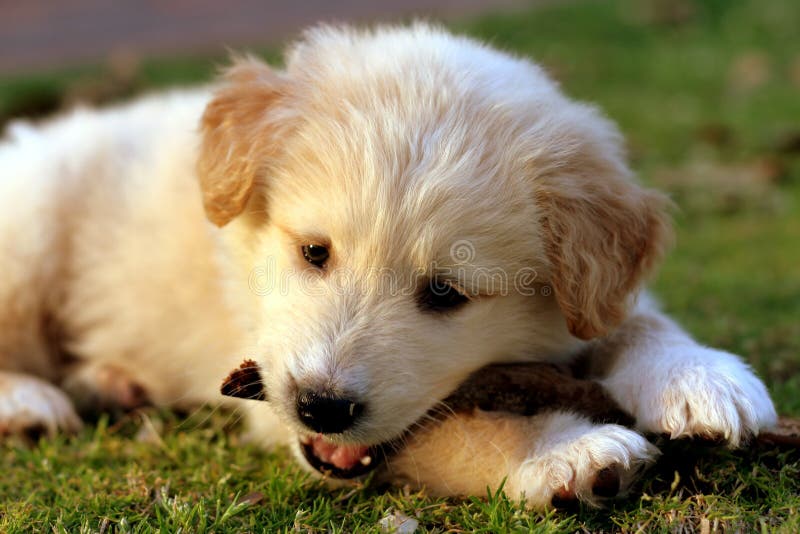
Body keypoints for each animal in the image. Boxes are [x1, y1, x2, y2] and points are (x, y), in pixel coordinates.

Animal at [0, 26, 776, 510]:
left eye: (445, 293)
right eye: (315, 252)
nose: (321, 406)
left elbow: (640, 318)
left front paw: (701, 377)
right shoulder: (269, 388)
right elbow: (459, 429)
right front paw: (564, 452)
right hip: (32, 220)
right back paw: (27, 402)